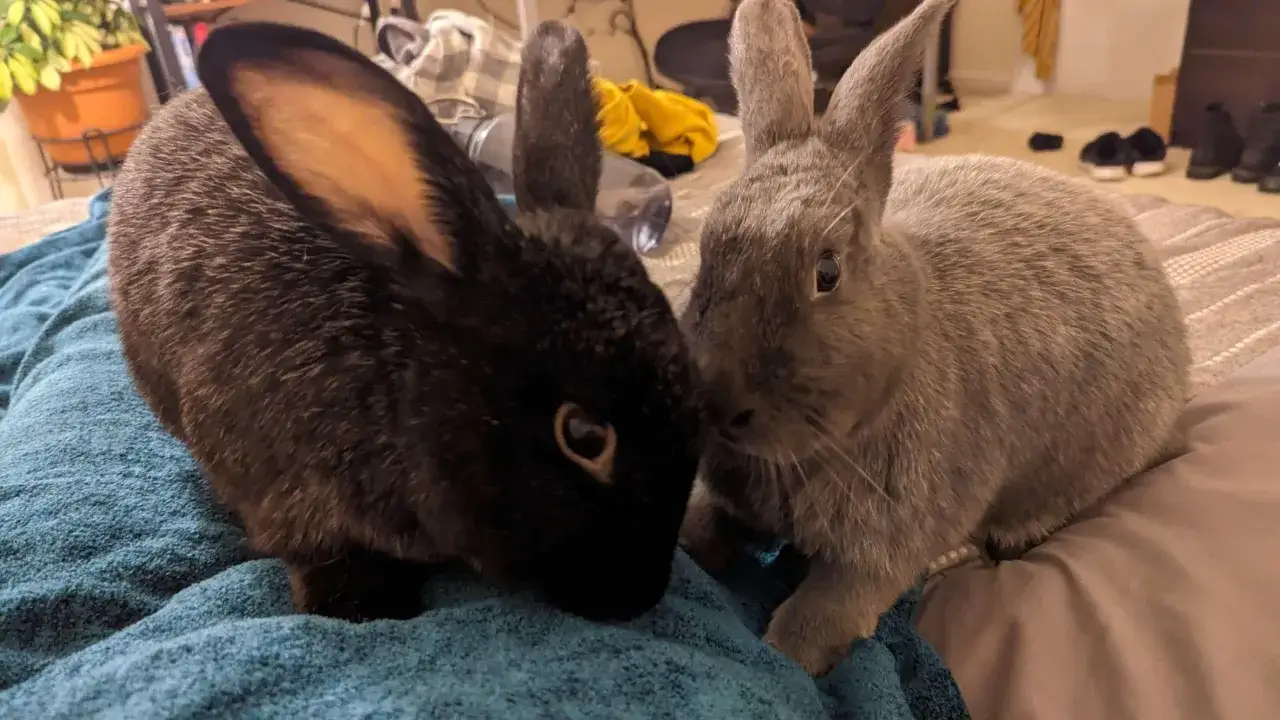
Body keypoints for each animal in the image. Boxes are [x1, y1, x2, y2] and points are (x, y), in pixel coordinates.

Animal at [678, 0, 1189, 675]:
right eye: (706, 250)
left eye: (826, 271)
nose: (716, 401)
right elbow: (702, 528)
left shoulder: (878, 553)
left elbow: (820, 618)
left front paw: (785, 658)